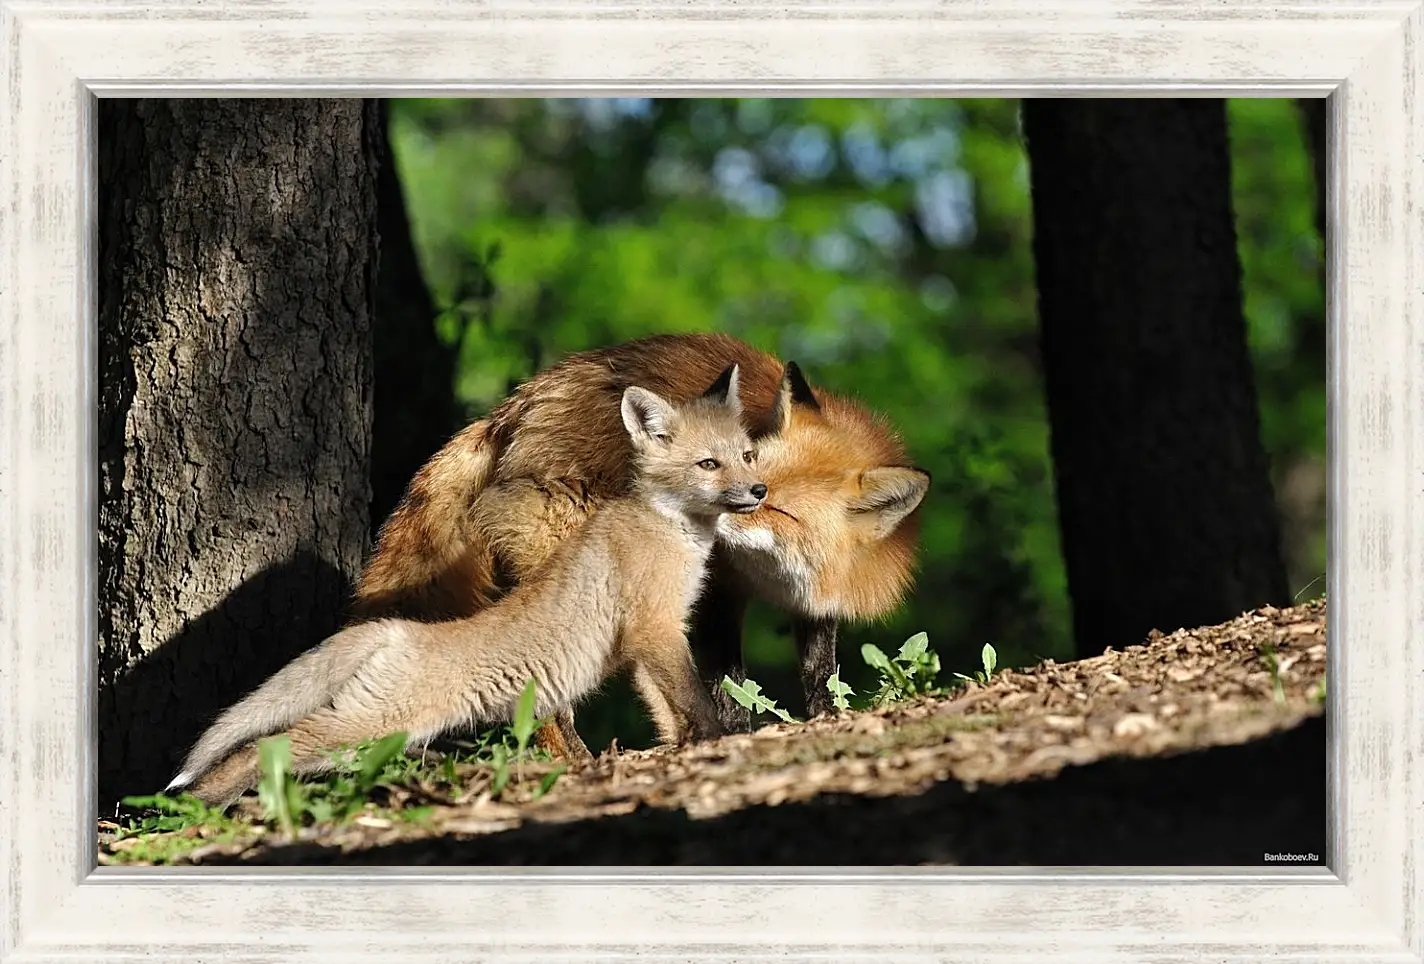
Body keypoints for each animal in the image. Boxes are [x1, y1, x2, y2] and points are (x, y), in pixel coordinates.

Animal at [168, 364, 763, 803]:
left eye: (747, 455)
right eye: (708, 464)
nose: (758, 490)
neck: (668, 528)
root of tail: (396, 630)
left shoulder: (642, 643)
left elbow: (666, 709)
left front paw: (677, 750)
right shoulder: (655, 627)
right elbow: (695, 701)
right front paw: (720, 741)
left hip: (378, 732)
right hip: (373, 720)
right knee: (261, 747)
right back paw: (193, 806)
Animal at [353, 333, 934, 757]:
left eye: (779, 507)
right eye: (749, 472)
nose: (718, 512)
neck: (776, 577)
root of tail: (515, 405)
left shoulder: (816, 604)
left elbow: (820, 674)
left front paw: (827, 719)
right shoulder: (718, 592)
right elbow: (729, 686)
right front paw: (736, 735)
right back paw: (576, 762)